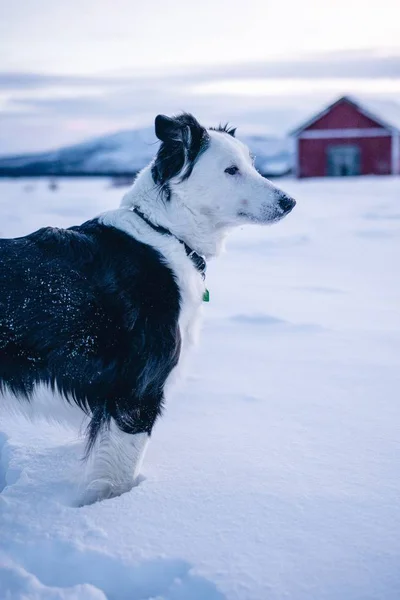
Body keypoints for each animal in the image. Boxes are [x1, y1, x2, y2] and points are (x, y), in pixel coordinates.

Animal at [0, 112, 294, 502]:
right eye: (231, 170)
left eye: (252, 163)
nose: (290, 201)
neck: (166, 232)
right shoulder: (138, 392)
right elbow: (116, 477)